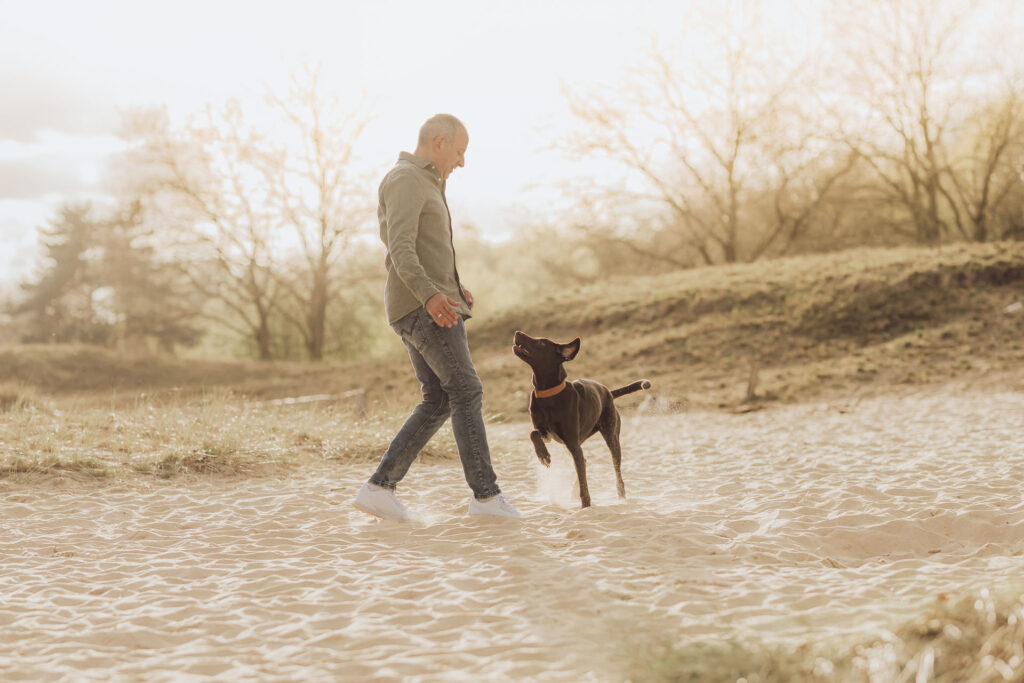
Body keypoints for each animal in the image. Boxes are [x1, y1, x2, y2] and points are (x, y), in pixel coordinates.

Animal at [509, 331, 647, 507]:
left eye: (541, 342)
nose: (517, 332)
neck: (549, 395)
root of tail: (608, 392)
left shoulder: (573, 443)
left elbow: (583, 483)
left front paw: (586, 506)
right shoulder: (547, 434)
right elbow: (533, 433)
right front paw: (543, 455)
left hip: (610, 437)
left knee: (615, 470)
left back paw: (621, 497)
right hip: (571, 444)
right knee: (584, 461)